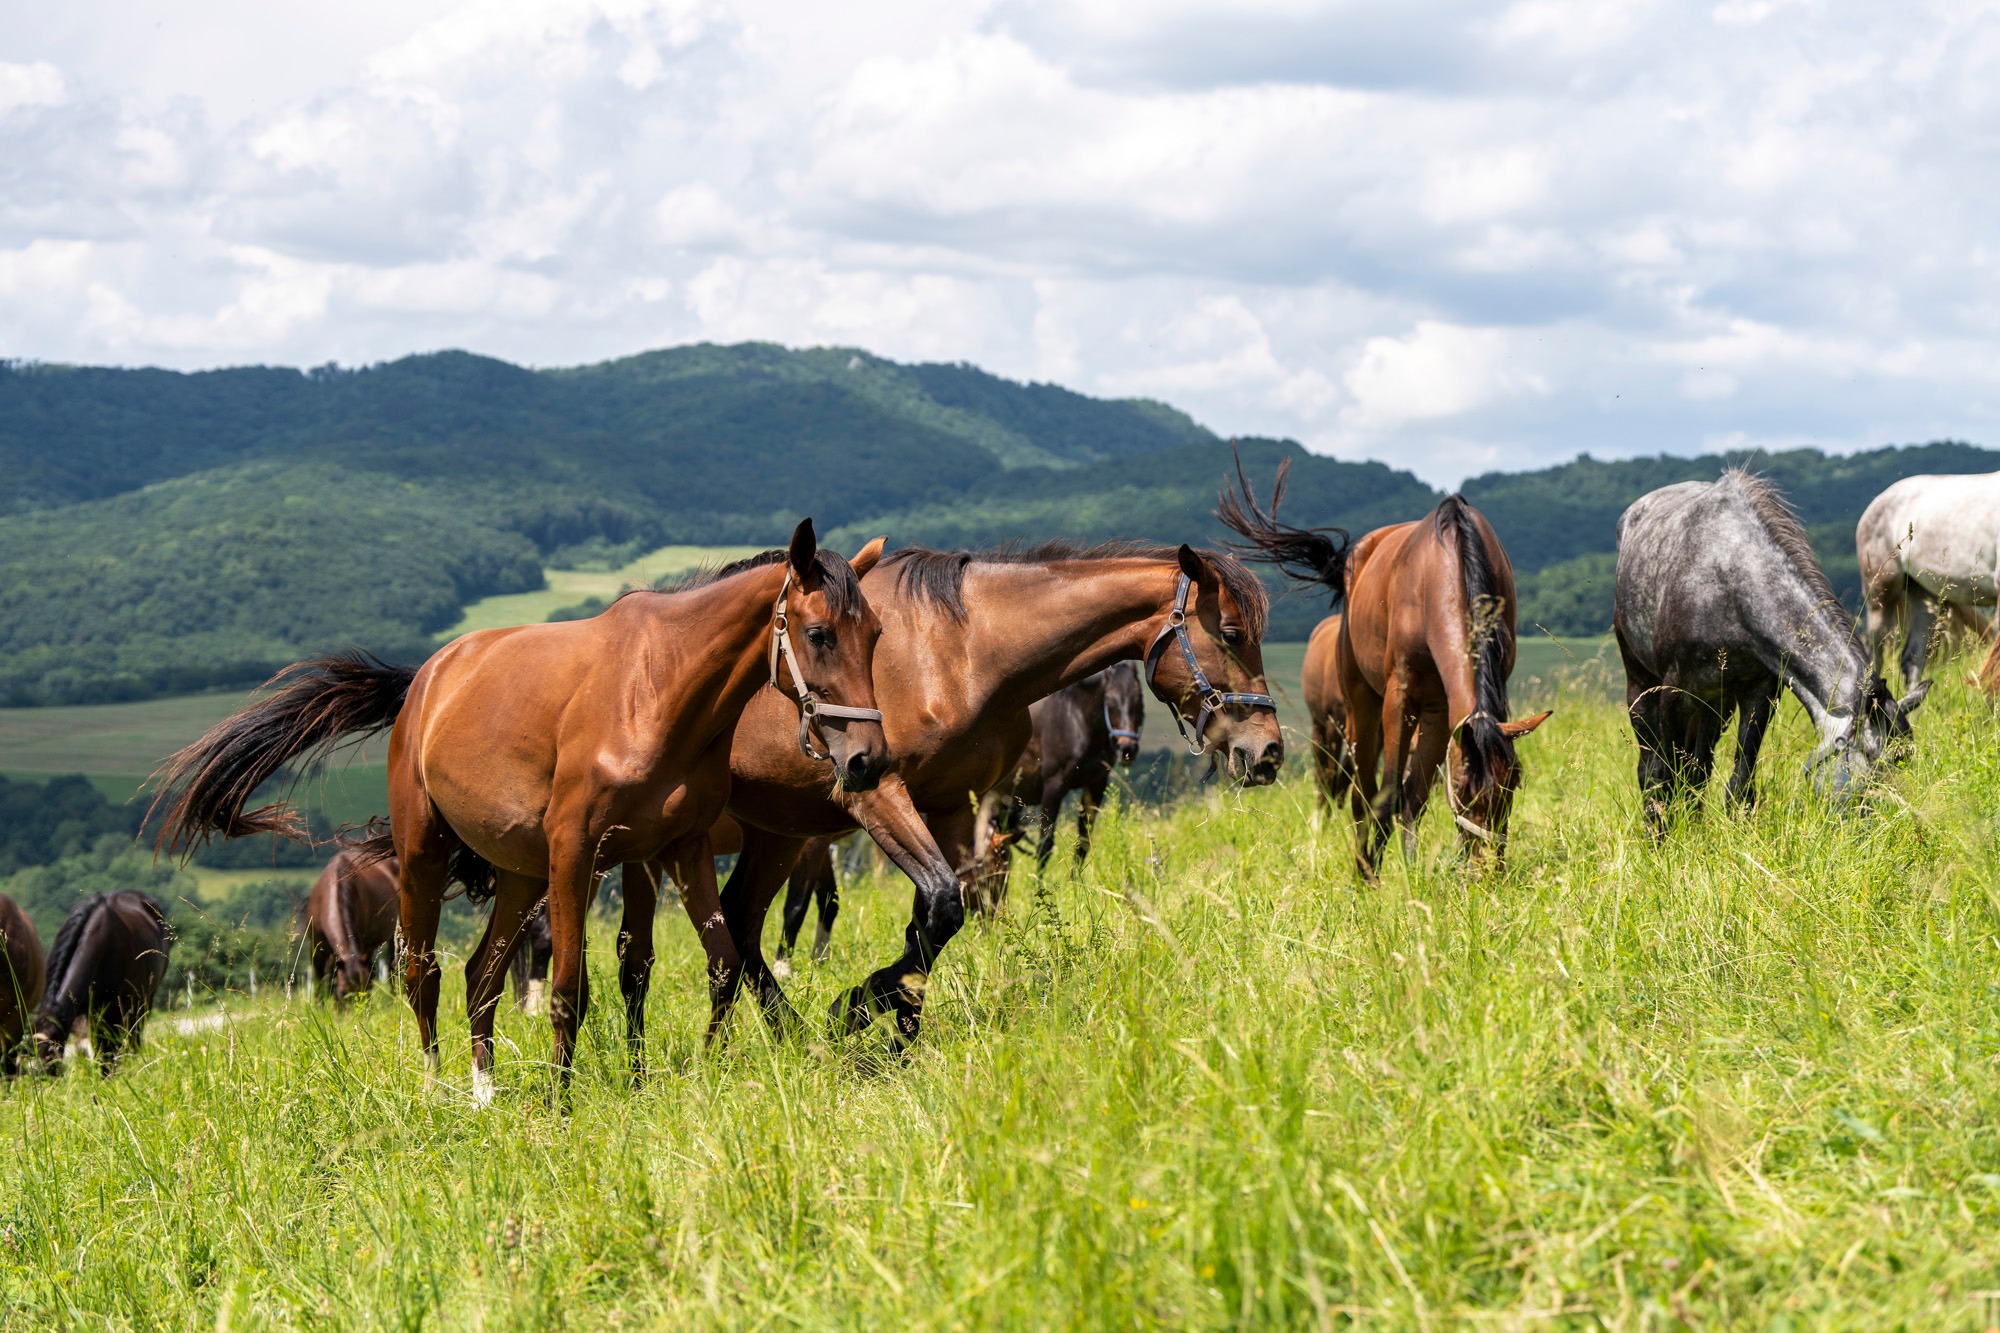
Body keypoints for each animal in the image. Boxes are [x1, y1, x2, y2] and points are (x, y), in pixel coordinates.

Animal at [970, 661, 1147, 909]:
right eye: (1110, 700)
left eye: (1138, 698)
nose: (1127, 749)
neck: (1076, 718)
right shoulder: (1054, 787)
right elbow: (1045, 845)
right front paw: (1039, 891)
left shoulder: (1096, 785)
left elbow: (1083, 842)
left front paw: (1076, 887)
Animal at [1219, 461, 1550, 876]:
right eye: (1462, 789)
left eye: (1514, 784)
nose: (1488, 870)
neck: (1447, 567)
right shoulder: (1400, 699)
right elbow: (1388, 794)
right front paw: (1374, 873)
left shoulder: (1440, 709)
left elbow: (1415, 797)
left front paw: (1413, 873)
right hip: (1355, 707)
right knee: (1358, 791)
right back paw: (1363, 867)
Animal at [1616, 470, 1929, 828]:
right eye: (1875, 762)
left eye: (1904, 759)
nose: (1896, 825)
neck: (1730, 582)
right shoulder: (1674, 694)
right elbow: (1664, 777)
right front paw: (1662, 834)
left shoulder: (1760, 691)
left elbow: (1739, 781)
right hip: (1642, 687)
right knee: (1652, 768)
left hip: (1716, 705)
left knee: (1699, 767)